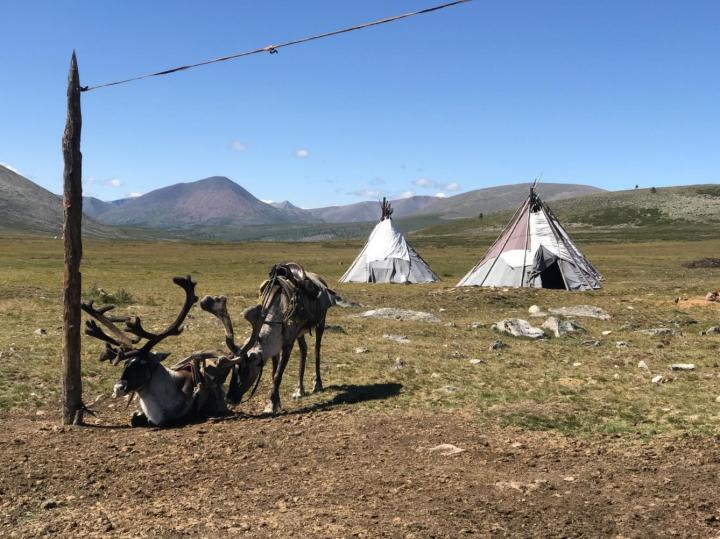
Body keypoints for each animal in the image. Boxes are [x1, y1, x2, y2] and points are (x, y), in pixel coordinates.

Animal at [200, 263, 338, 415]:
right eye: (233, 369)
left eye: (246, 370)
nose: (229, 398)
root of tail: (320, 278)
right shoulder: (278, 344)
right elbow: (273, 373)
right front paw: (277, 401)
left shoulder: (287, 343)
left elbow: (278, 375)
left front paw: (270, 405)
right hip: (300, 332)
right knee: (304, 349)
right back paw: (299, 390)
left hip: (321, 322)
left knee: (317, 349)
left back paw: (317, 384)